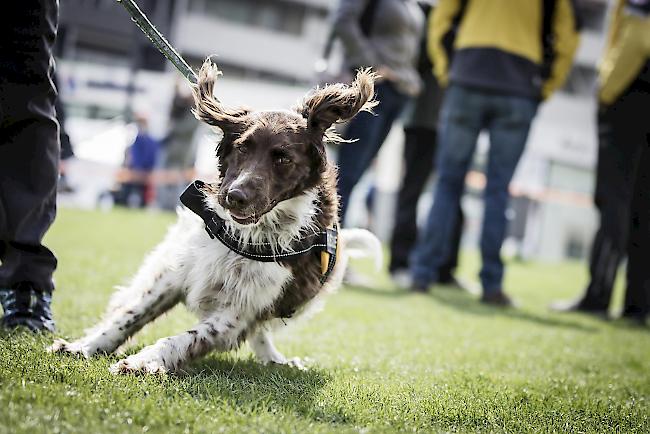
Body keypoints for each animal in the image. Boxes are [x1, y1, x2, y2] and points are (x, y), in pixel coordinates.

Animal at [49, 59, 380, 374]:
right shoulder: (176, 271)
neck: (251, 233)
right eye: (242, 147)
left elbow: (183, 339)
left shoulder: (238, 312)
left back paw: (274, 359)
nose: (235, 196)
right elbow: (131, 315)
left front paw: (145, 362)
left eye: (283, 158)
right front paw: (86, 346)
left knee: (259, 331)